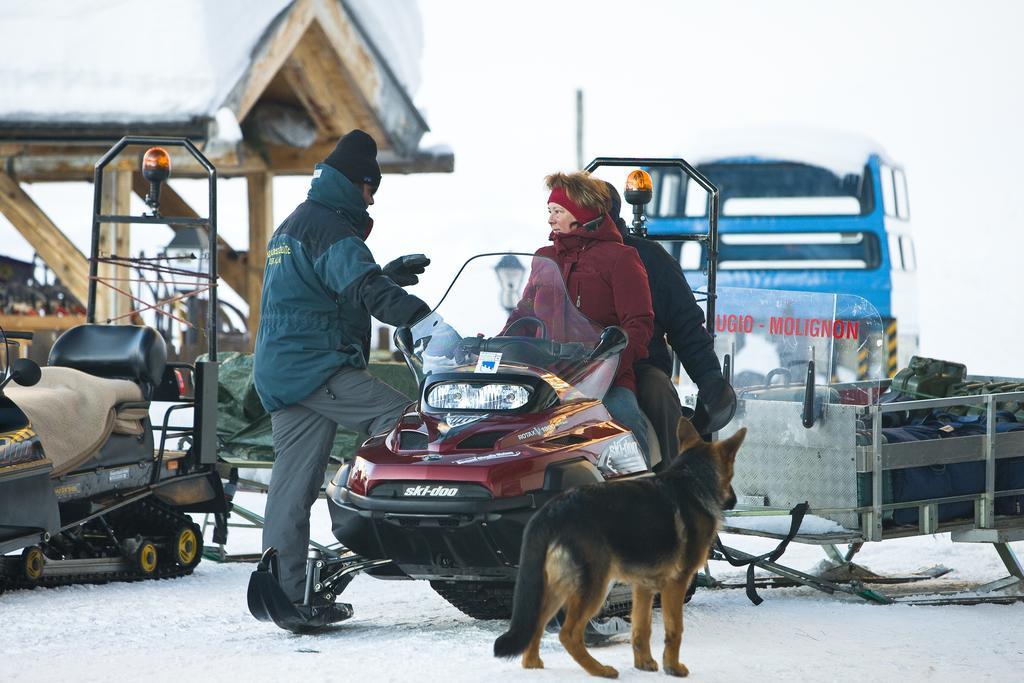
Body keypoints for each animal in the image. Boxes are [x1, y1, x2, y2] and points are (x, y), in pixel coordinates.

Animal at [493, 419, 745, 675]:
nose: (734, 501)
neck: (692, 478)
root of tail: (550, 511)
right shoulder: (676, 583)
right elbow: (675, 629)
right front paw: (672, 667)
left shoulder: (643, 586)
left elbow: (641, 629)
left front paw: (644, 664)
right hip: (594, 586)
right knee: (569, 634)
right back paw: (599, 670)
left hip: (557, 586)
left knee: (535, 626)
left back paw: (534, 665)